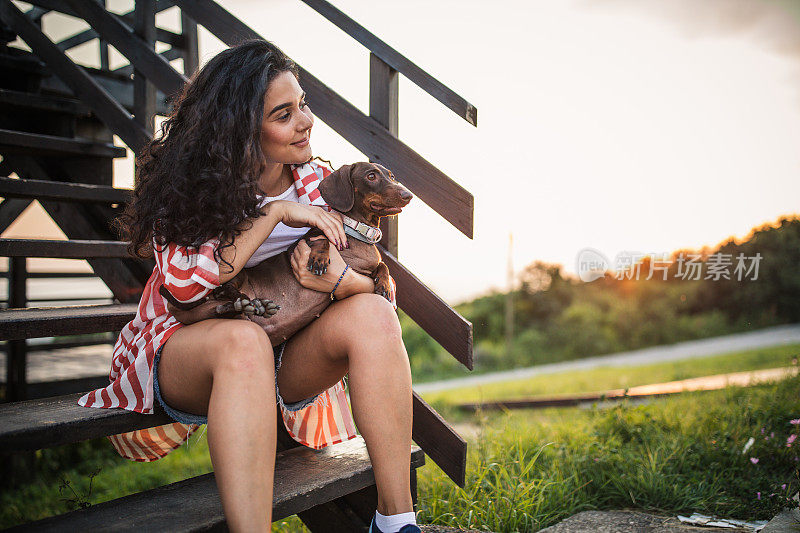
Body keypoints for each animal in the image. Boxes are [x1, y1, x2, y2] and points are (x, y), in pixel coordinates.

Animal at [162, 162, 412, 344]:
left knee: (223, 307)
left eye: (391, 176)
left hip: (223, 310)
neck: (357, 233)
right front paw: (319, 258)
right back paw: (250, 302)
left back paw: (250, 306)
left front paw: (384, 285)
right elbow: (322, 239)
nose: (408, 195)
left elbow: (383, 266)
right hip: (235, 276)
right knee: (225, 291)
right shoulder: (313, 238)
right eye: (371, 176)